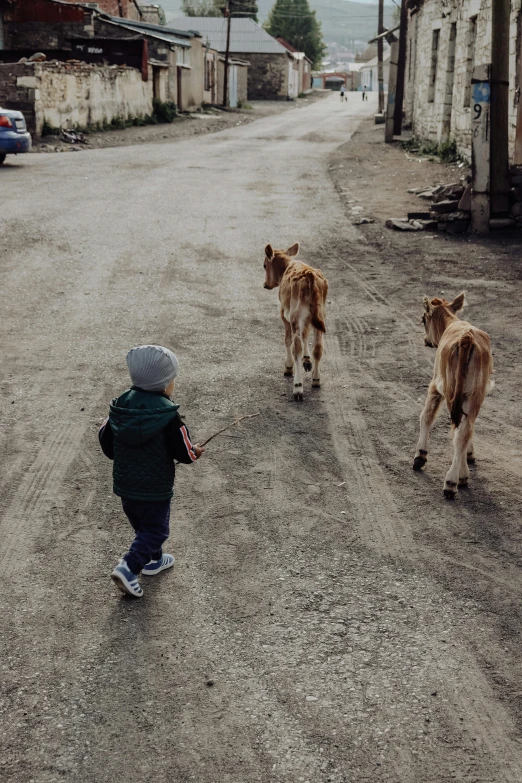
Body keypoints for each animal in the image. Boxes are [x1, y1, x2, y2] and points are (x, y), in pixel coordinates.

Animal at [262, 243, 328, 402]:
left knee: (296, 346)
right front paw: (307, 360)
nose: (265, 284)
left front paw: (288, 366)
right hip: (320, 315)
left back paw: (298, 387)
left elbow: (287, 340)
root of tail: (310, 275)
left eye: (264, 265)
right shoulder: (307, 320)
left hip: (295, 316)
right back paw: (316, 379)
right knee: (318, 346)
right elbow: (305, 335)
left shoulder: (284, 315)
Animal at [410, 290, 492, 500]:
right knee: (465, 428)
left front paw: (420, 455)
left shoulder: (435, 384)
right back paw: (459, 476)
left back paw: (452, 481)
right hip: (474, 394)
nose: (425, 340)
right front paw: (470, 455)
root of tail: (466, 338)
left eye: (423, 319)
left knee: (458, 431)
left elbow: (426, 416)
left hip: (449, 388)